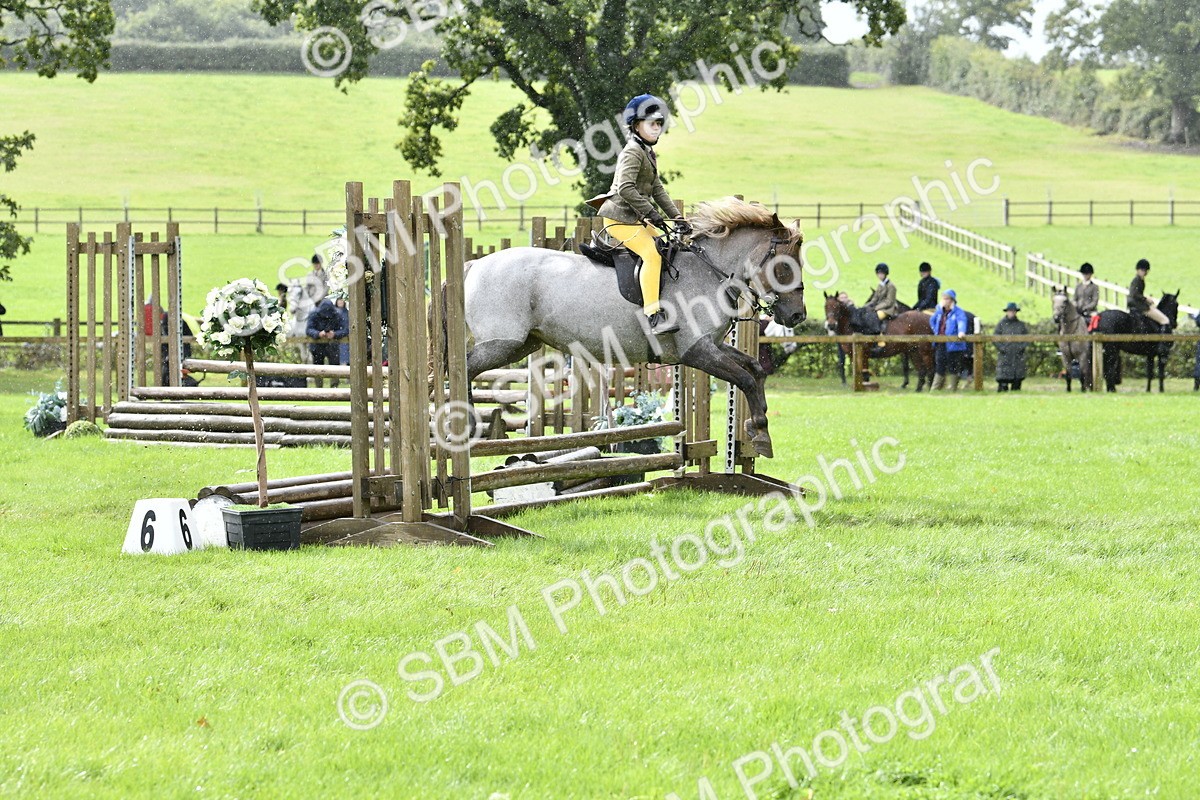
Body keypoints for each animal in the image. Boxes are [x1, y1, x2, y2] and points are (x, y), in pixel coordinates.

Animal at [462, 198, 806, 458]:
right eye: (784, 267)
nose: (798, 316)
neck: (710, 272)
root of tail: (475, 264)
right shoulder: (697, 352)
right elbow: (745, 379)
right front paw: (760, 432)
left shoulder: (714, 345)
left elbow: (755, 371)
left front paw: (758, 432)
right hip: (502, 343)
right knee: (463, 368)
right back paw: (467, 425)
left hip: (524, 343)